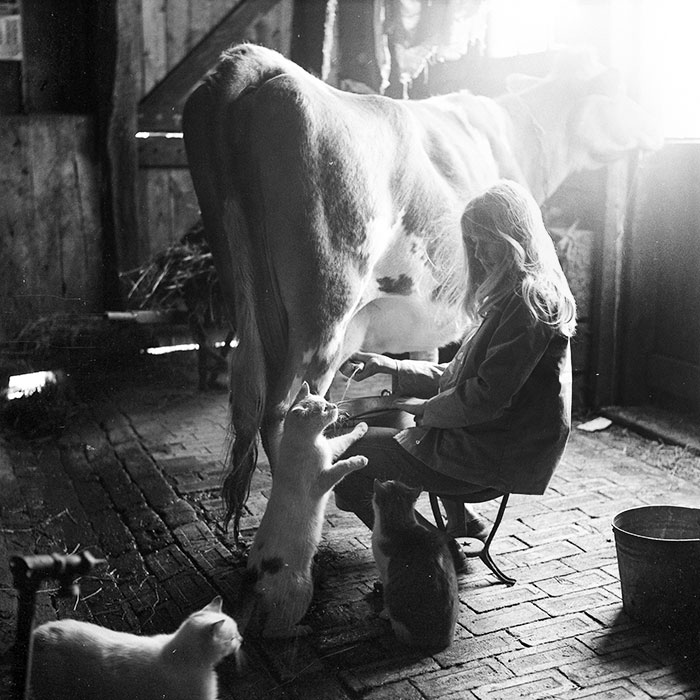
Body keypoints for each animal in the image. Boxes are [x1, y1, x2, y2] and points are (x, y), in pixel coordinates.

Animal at [182, 43, 660, 536]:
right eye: (618, 88)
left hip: (248, 295)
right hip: (324, 313)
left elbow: (421, 386)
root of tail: (263, 64)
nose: (659, 127)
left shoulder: (425, 321)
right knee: (282, 411)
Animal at [246, 382, 370, 640]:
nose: (334, 405)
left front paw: (362, 427)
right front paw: (360, 460)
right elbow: (341, 466)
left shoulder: (330, 446)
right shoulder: (321, 481)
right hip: (302, 589)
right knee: (270, 632)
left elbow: (344, 438)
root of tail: (255, 582)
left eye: (325, 401)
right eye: (323, 409)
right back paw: (304, 629)